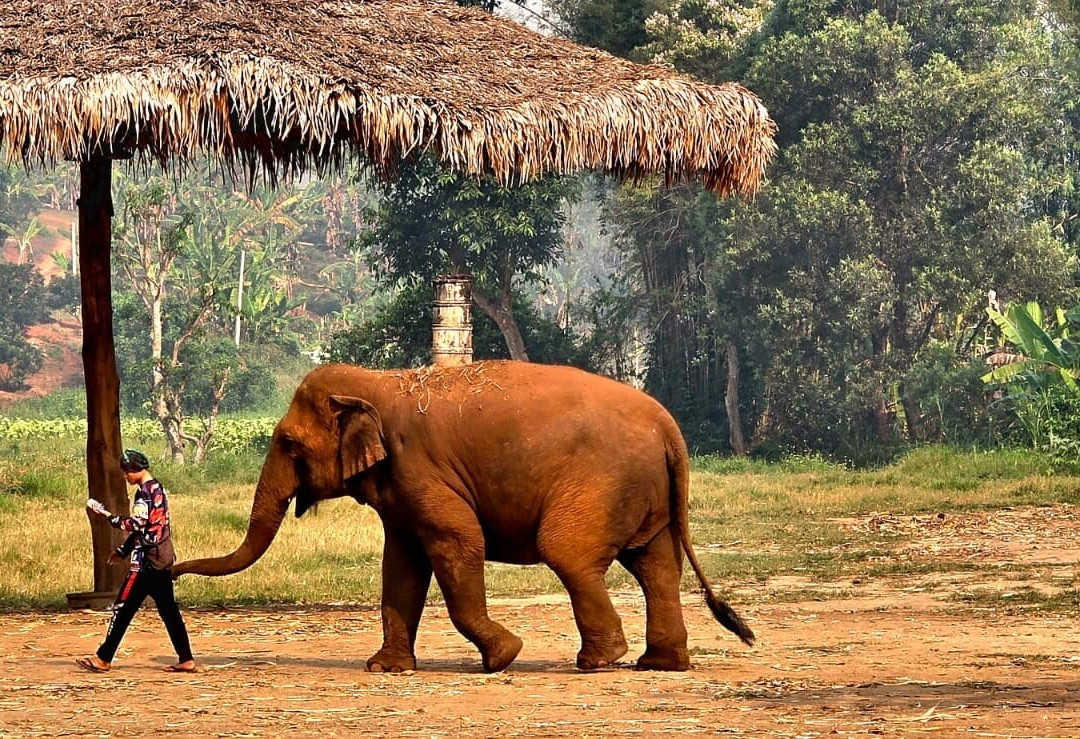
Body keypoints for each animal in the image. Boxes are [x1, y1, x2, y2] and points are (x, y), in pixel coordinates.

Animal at [173, 360, 754, 672]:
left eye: (288, 443)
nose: (171, 569)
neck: (378, 382)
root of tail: (668, 426)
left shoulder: (420, 470)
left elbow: (457, 542)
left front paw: (504, 656)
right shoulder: (401, 492)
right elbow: (400, 565)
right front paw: (385, 669)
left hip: (603, 481)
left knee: (568, 551)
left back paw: (600, 660)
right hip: (644, 493)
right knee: (656, 565)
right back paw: (658, 663)